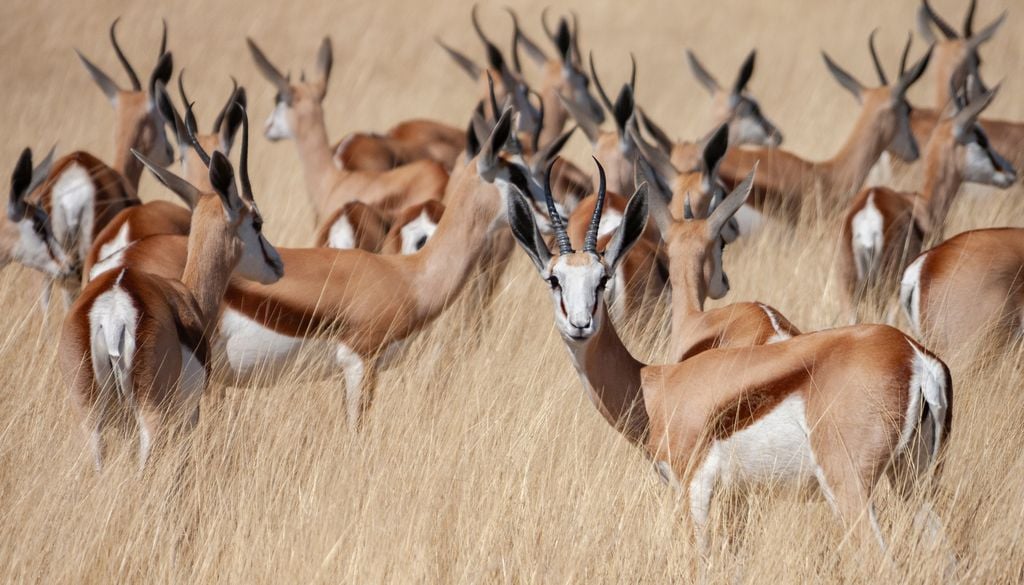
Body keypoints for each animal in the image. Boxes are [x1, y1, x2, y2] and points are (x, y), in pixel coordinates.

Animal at [59, 107, 284, 471]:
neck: (188, 295)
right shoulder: (189, 415)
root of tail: (114, 311)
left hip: (91, 418)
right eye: (257, 222)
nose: (277, 264)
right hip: (150, 417)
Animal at [506, 169, 951, 572]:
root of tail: (915, 356)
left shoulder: (694, 490)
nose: (580, 324)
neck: (654, 388)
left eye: (602, 278)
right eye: (554, 279)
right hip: (913, 482)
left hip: (849, 487)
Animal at [839, 79, 1016, 323]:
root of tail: (869, 208)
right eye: (981, 139)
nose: (1011, 172)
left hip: (851, 293)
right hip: (890, 292)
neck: (923, 203)